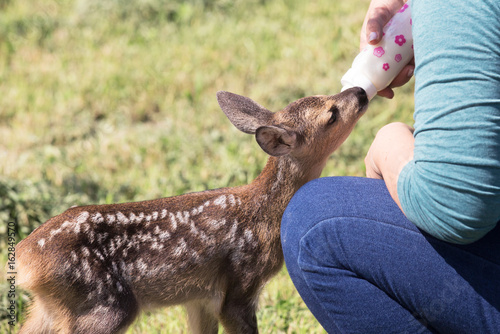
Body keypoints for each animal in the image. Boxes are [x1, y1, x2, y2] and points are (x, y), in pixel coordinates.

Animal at [16, 87, 368, 332]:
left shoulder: (199, 297)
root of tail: (24, 258)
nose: (361, 92)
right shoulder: (241, 283)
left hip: (49, 309)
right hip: (103, 304)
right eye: (331, 114)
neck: (266, 214)